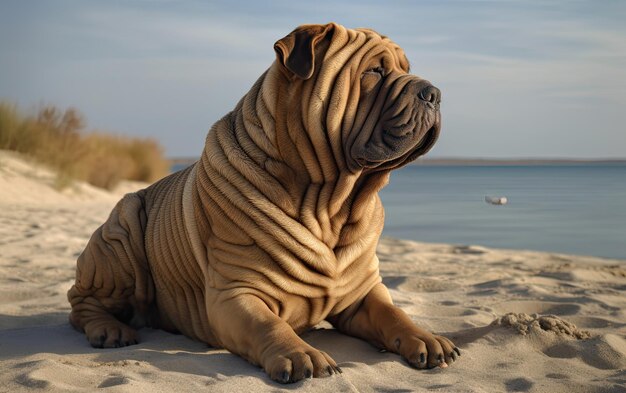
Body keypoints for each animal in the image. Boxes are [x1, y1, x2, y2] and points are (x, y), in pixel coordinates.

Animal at [68, 22, 458, 382]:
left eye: (405, 69)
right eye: (374, 71)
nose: (434, 93)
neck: (331, 206)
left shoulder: (362, 293)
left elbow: (394, 313)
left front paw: (425, 338)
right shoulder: (236, 294)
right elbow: (269, 325)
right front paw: (301, 354)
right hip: (123, 230)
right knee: (80, 302)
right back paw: (110, 330)